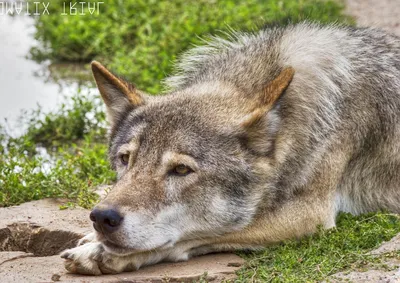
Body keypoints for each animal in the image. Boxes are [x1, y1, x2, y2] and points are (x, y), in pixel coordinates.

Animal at [60, 22, 400, 276]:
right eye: (125, 159)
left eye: (181, 169)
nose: (102, 217)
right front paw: (91, 236)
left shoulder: (311, 215)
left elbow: (201, 233)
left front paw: (98, 252)